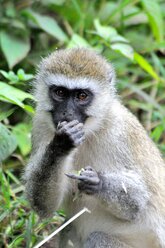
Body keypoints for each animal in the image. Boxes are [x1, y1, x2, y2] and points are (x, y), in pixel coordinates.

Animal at [23, 48, 165, 248]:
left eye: (82, 96)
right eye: (60, 92)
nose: (67, 113)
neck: (91, 130)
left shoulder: (120, 131)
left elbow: (137, 202)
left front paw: (96, 181)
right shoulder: (40, 124)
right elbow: (43, 205)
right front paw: (61, 143)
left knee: (97, 238)